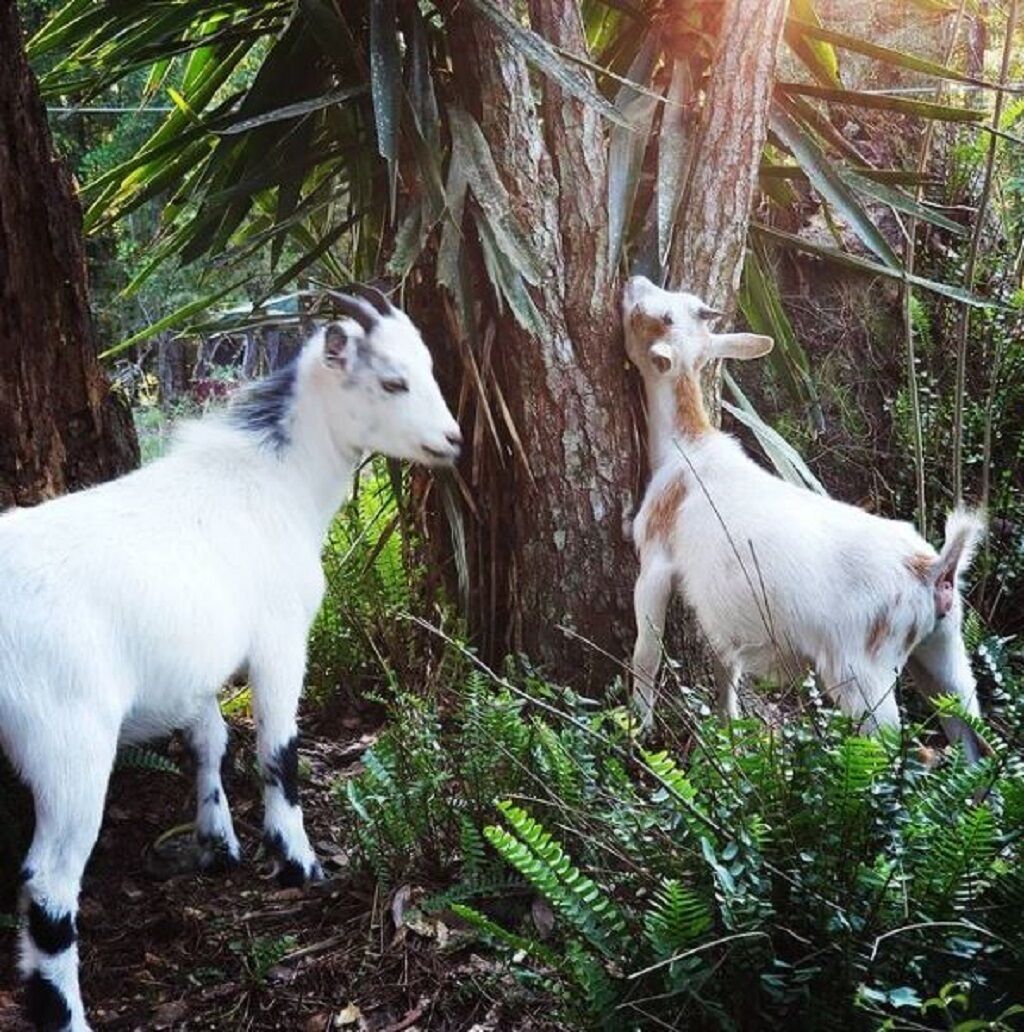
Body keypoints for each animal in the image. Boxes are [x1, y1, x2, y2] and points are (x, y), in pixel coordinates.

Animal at [0, 286, 463, 1032]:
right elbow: (279, 748)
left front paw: (218, 845)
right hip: (67, 741)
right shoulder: (279, 638)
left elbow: (210, 740)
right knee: (49, 885)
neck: (275, 480)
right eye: (393, 381)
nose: (453, 441)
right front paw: (297, 860)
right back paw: (67, 1015)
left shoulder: (197, 675)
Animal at [623, 275, 985, 759]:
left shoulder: (656, 562)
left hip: (863, 676)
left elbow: (646, 651)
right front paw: (729, 733)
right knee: (971, 735)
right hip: (945, 648)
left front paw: (638, 728)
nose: (634, 281)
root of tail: (932, 570)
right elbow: (725, 668)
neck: (687, 448)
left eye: (649, 315)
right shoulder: (720, 619)